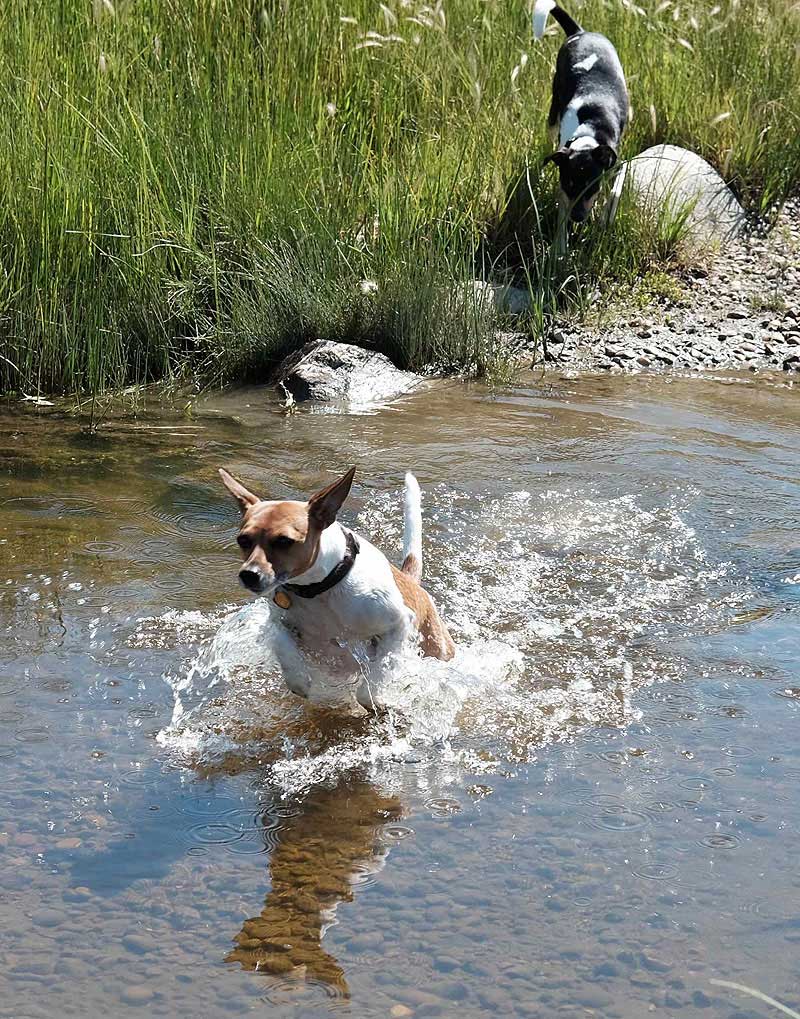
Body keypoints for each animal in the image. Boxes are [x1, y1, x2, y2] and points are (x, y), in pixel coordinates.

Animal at [218, 466, 456, 709]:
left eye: (284, 541)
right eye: (243, 540)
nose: (248, 575)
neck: (319, 590)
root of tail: (411, 582)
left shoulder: (398, 624)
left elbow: (373, 683)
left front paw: (377, 698)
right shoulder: (280, 624)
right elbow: (287, 657)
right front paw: (301, 680)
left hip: (437, 647)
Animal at [534, 0, 627, 222]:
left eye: (591, 188)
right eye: (568, 185)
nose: (577, 217)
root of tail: (580, 32)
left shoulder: (615, 164)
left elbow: (613, 192)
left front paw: (604, 216)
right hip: (554, 109)